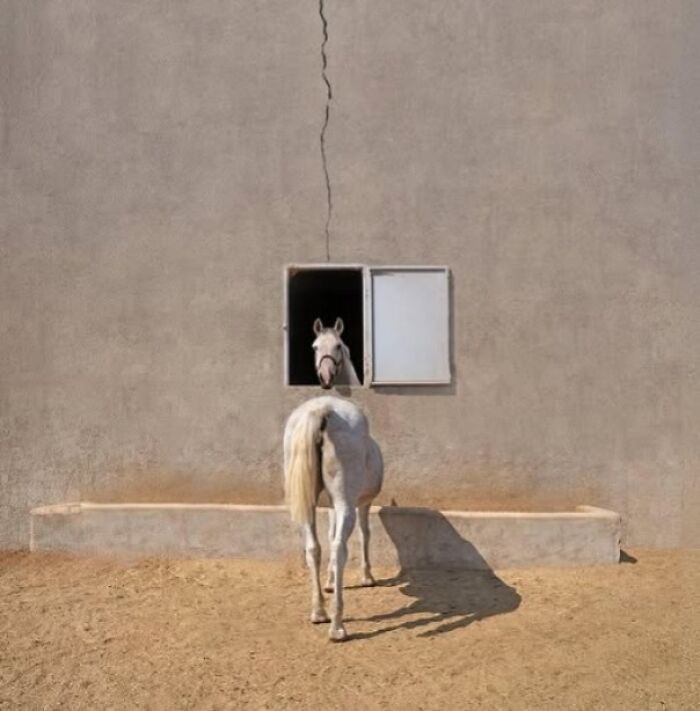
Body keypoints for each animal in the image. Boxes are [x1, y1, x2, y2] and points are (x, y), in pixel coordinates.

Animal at [283, 396, 383, 641]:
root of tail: (322, 409)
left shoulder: (330, 506)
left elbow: (328, 536)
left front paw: (329, 582)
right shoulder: (363, 504)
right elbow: (365, 534)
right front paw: (367, 577)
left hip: (309, 504)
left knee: (313, 548)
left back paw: (319, 612)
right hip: (345, 501)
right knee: (340, 549)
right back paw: (337, 627)